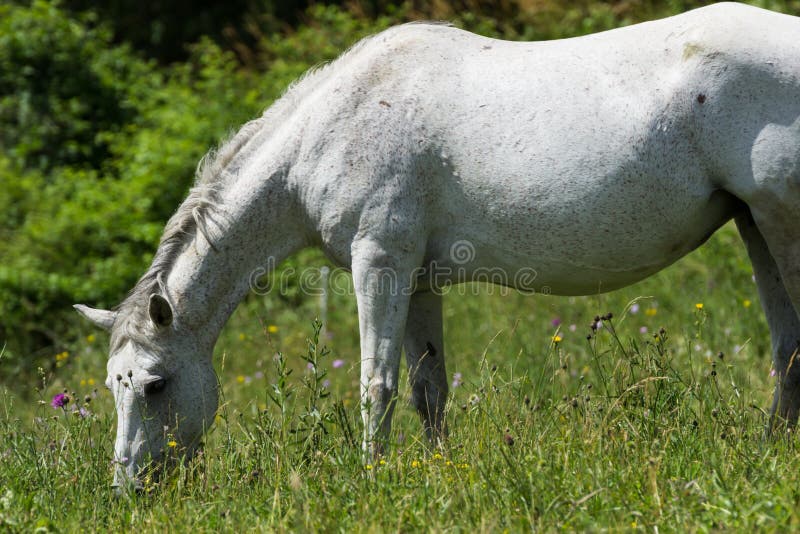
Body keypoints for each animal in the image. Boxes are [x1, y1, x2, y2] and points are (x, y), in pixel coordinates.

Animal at [76, 2, 800, 489]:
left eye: (156, 385)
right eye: (113, 385)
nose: (129, 487)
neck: (330, 127)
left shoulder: (380, 263)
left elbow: (377, 383)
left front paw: (371, 480)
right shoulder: (419, 280)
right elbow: (430, 390)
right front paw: (436, 473)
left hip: (780, 222)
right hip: (755, 227)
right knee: (786, 347)